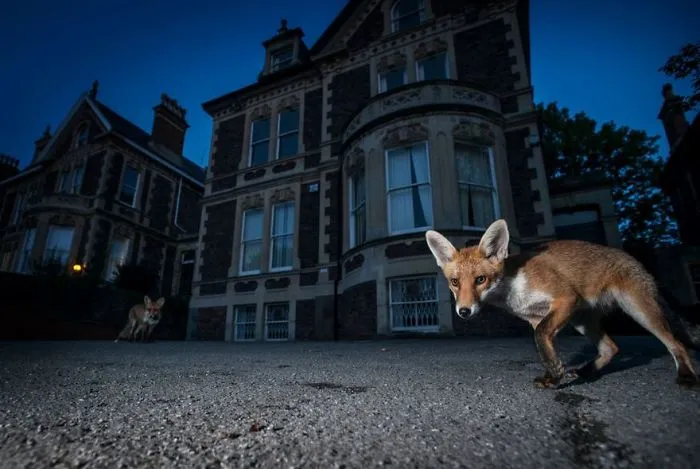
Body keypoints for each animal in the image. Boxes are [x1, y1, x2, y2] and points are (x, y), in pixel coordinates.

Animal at [425, 219, 699, 389]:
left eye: (480, 280)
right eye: (455, 282)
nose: (464, 311)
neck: (513, 288)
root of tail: (633, 259)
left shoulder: (565, 298)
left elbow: (542, 339)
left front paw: (556, 375)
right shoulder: (537, 317)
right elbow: (546, 346)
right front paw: (554, 375)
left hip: (640, 311)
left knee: (676, 344)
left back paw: (686, 375)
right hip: (582, 321)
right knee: (611, 348)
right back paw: (588, 371)